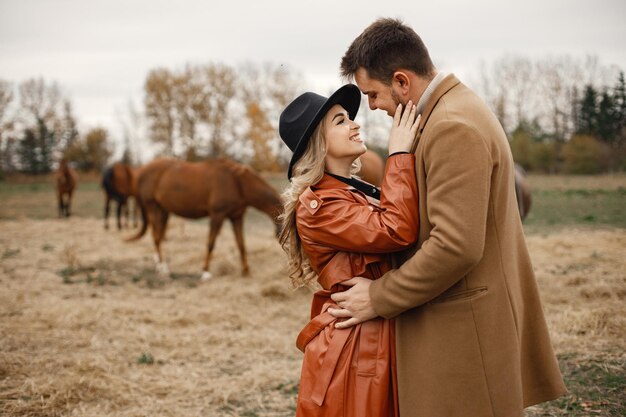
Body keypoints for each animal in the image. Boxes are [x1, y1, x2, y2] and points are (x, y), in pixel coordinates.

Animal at [127, 156, 282, 280]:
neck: (237, 182)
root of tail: (141, 172)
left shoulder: (236, 217)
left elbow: (241, 244)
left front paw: (246, 272)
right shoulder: (217, 215)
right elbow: (211, 243)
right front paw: (205, 272)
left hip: (163, 210)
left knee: (157, 236)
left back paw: (159, 265)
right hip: (153, 208)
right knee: (156, 237)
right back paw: (163, 268)